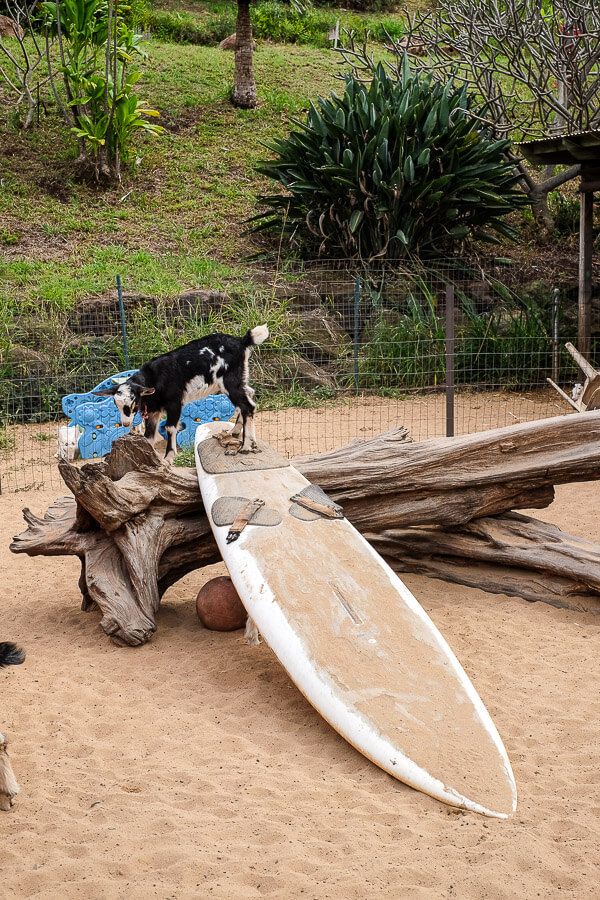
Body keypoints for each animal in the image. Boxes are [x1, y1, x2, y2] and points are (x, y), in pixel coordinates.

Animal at [95, 324, 268, 460]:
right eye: (116, 404)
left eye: (133, 402)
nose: (125, 423)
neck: (154, 379)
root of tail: (242, 341)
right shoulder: (154, 411)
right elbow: (148, 436)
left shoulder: (174, 402)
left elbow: (170, 428)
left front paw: (169, 457)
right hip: (237, 380)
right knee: (249, 394)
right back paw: (237, 432)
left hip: (229, 382)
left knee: (248, 405)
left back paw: (245, 446)